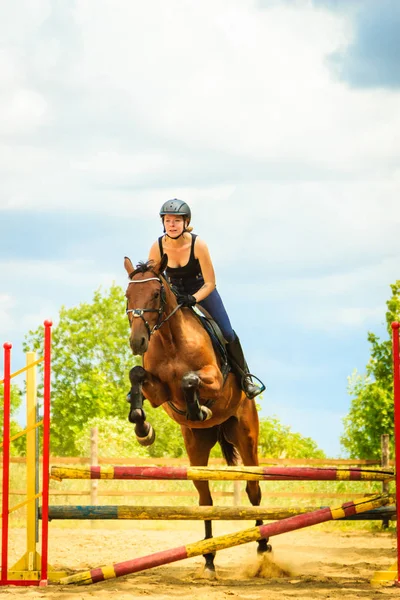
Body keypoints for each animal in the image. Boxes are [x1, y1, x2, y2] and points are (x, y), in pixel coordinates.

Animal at [123, 255, 270, 576]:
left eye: (156, 293)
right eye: (128, 295)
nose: (138, 342)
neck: (170, 340)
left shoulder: (213, 378)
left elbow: (190, 380)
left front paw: (198, 408)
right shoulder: (160, 393)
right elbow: (137, 374)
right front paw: (143, 429)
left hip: (246, 438)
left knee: (253, 490)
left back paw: (264, 546)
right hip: (197, 448)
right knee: (206, 500)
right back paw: (209, 558)